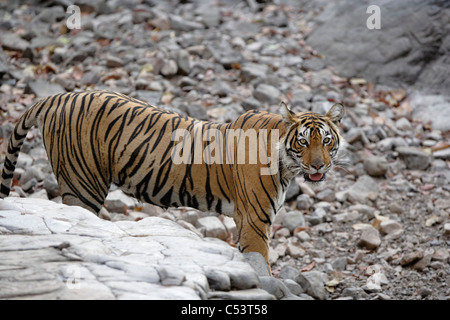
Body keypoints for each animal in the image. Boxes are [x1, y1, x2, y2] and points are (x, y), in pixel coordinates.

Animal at [0, 90, 344, 268]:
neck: (287, 163)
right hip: (82, 185)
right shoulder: (255, 220)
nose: (319, 166)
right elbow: (260, 261)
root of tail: (60, 95)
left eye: (326, 141)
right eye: (303, 142)